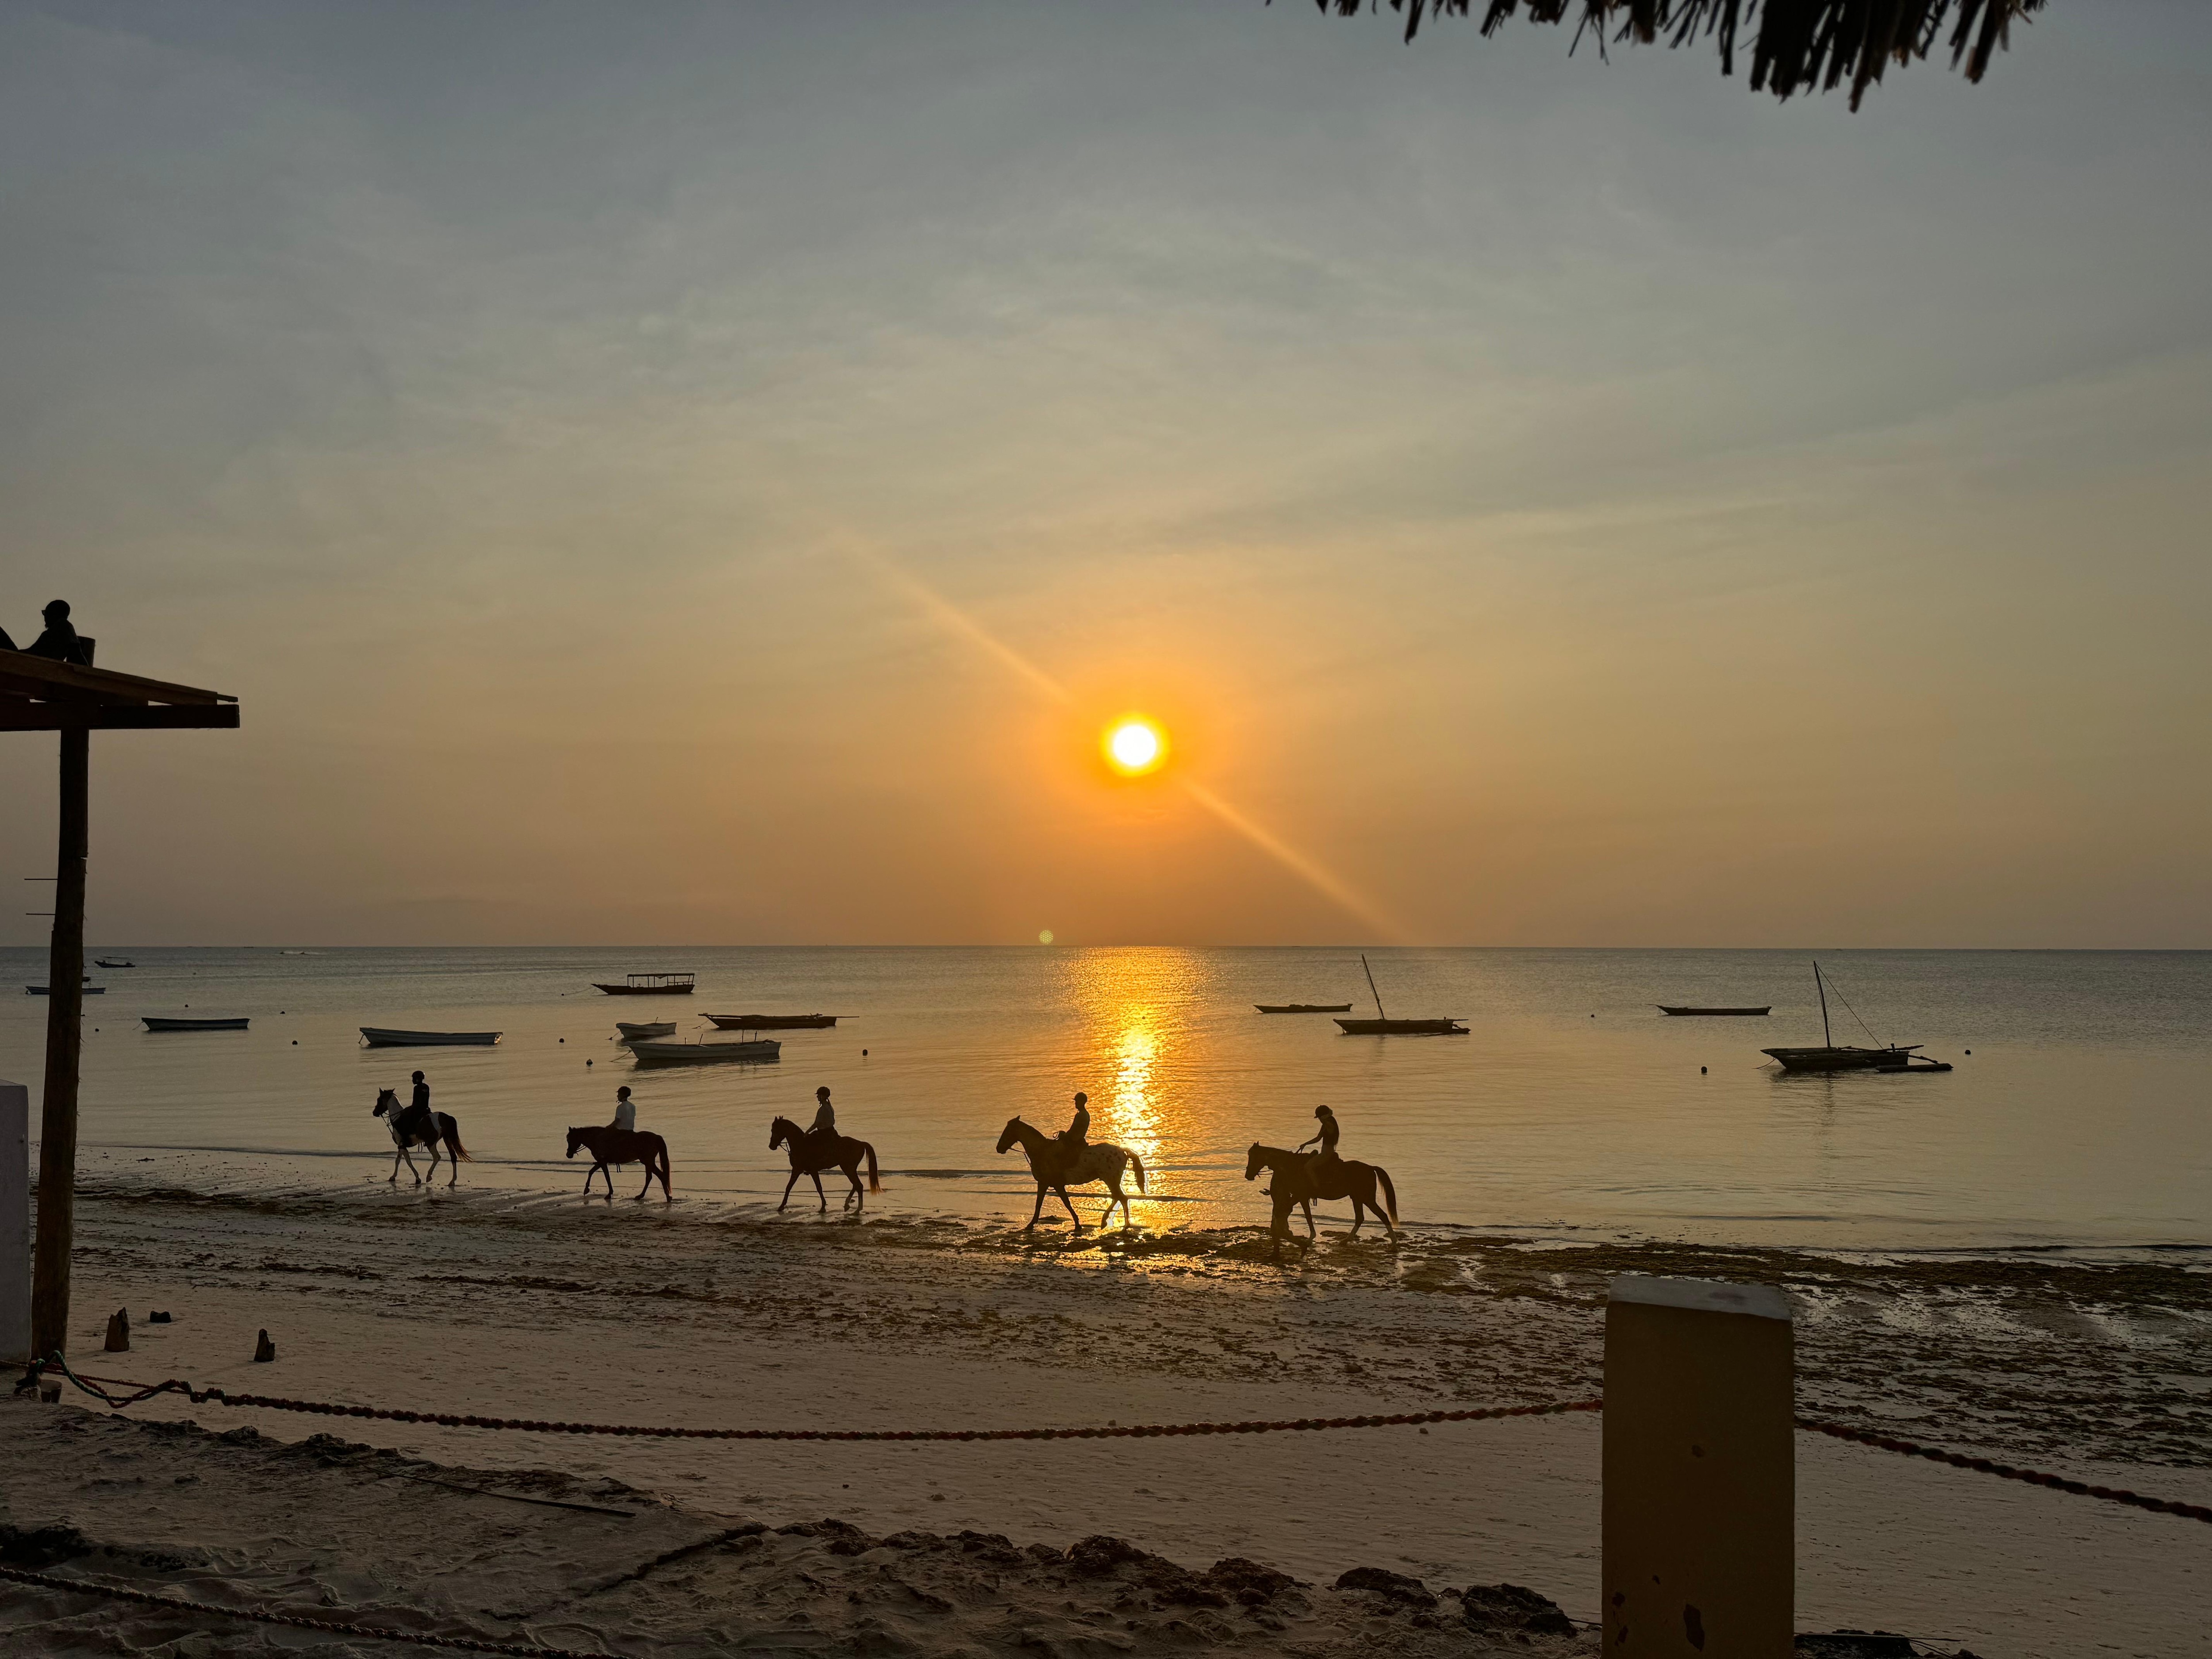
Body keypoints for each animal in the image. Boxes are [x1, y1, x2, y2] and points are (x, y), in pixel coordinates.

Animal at [372, 1084, 471, 1186]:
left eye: (379, 1099)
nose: (374, 1113)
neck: (397, 1118)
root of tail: (446, 1117)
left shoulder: (402, 1145)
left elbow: (407, 1161)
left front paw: (417, 1178)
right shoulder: (402, 1145)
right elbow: (399, 1160)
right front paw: (393, 1177)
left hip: (431, 1143)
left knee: (437, 1157)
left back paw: (429, 1177)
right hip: (446, 1139)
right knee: (453, 1157)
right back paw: (452, 1181)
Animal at [562, 1124, 664, 1203]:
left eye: (569, 1140)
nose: (568, 1154)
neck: (596, 1139)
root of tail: (656, 1137)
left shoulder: (602, 1162)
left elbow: (607, 1177)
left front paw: (609, 1193)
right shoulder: (601, 1162)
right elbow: (592, 1172)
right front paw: (587, 1189)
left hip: (647, 1162)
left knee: (653, 1176)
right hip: (649, 1162)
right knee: (654, 1176)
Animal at [774, 1124, 885, 1212]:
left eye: (774, 1130)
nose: (772, 1146)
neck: (800, 1144)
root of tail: (861, 1143)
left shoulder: (801, 1170)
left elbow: (816, 1187)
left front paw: (823, 1206)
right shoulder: (804, 1170)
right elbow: (791, 1186)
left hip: (848, 1168)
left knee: (858, 1185)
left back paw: (858, 1208)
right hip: (849, 1168)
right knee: (856, 1185)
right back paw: (848, 1204)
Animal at [1000, 1119, 1150, 1239]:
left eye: (1007, 1131)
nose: (999, 1148)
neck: (1042, 1151)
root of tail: (1122, 1150)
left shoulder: (1048, 1183)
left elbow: (1054, 1204)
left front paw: (1031, 1225)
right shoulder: (1052, 1184)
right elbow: (1056, 1203)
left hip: (1110, 1179)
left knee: (1121, 1198)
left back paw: (1118, 1225)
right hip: (1111, 1180)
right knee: (1118, 1197)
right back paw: (1112, 1223)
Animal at [1248, 1141, 1398, 1256]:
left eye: (1253, 1157)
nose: (1247, 1175)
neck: (1292, 1166)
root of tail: (1371, 1168)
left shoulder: (1300, 1196)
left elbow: (1306, 1216)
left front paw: (1308, 1239)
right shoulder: (1300, 1197)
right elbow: (1301, 1215)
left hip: (1367, 1199)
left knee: (1383, 1216)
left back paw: (1394, 1244)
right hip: (1357, 1198)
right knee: (1360, 1218)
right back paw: (1346, 1241)